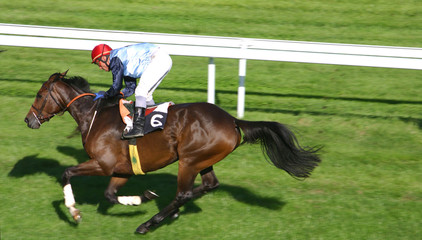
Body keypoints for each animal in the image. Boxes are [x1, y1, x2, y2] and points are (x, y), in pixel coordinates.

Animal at [24, 71, 322, 234]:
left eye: (39, 95)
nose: (28, 120)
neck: (95, 117)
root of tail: (232, 120)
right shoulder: (122, 169)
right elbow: (109, 195)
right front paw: (142, 197)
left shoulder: (103, 164)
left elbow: (66, 173)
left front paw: (74, 212)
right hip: (204, 159)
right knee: (209, 185)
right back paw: (171, 214)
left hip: (189, 160)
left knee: (184, 193)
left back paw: (149, 223)